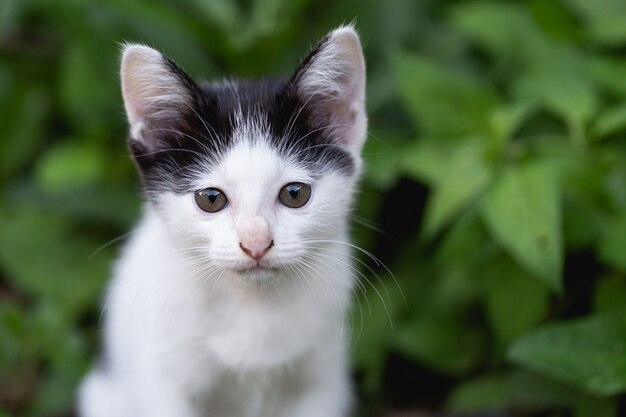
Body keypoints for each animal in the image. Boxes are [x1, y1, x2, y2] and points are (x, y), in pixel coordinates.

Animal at [78, 26, 366, 416]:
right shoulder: (161, 379)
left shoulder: (322, 380)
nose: (256, 244)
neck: (253, 306)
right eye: (211, 199)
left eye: (295, 194)